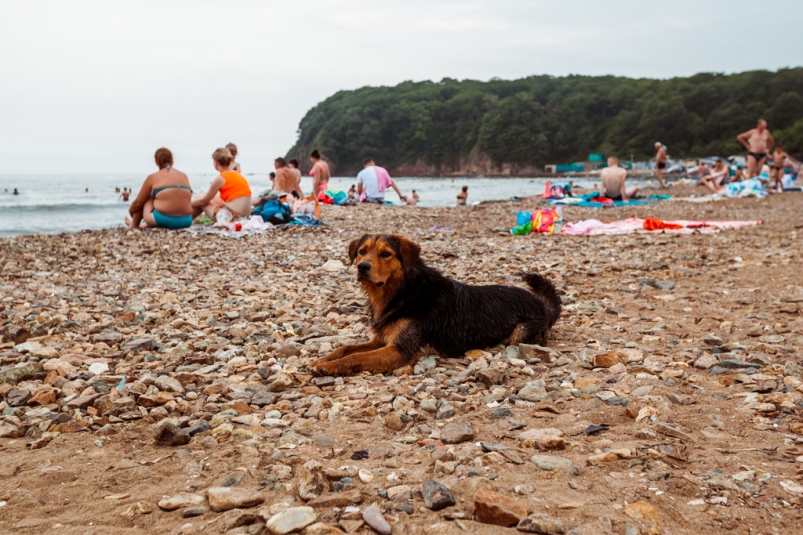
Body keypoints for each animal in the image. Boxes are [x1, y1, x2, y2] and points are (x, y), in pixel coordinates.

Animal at [306, 234, 560, 376]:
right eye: (362, 252)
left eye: (386, 254)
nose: (362, 267)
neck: (404, 291)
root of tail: (542, 305)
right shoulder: (381, 339)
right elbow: (345, 348)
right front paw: (323, 359)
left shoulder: (399, 350)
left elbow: (354, 357)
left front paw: (329, 367)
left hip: (521, 332)